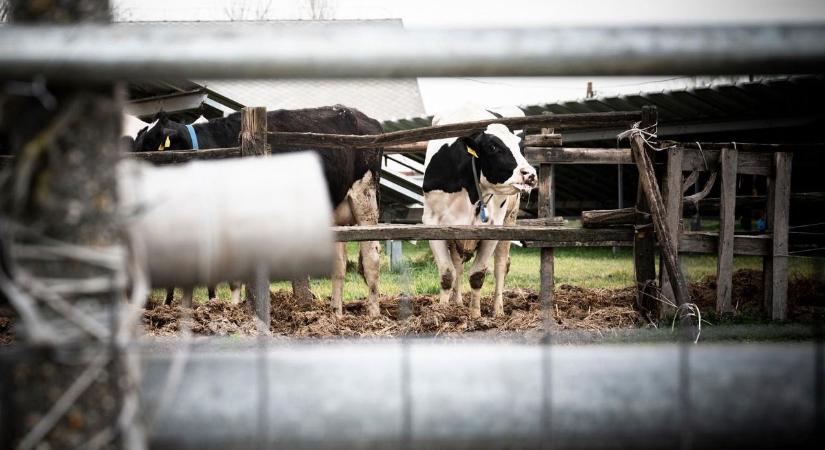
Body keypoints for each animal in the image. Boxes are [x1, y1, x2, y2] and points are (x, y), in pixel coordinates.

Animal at [132, 105, 384, 316]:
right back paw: (336, 314)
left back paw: (373, 314)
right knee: (339, 265)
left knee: (371, 257)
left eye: (151, 147)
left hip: (365, 197)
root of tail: (364, 118)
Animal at [422, 105, 536, 316]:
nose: (530, 174)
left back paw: (498, 310)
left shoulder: (492, 228)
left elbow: (477, 275)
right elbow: (447, 274)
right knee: (458, 266)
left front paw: (475, 315)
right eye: (493, 147)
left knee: (501, 267)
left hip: (509, 219)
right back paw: (457, 302)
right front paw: (442, 311)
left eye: (520, 147)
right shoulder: (433, 225)